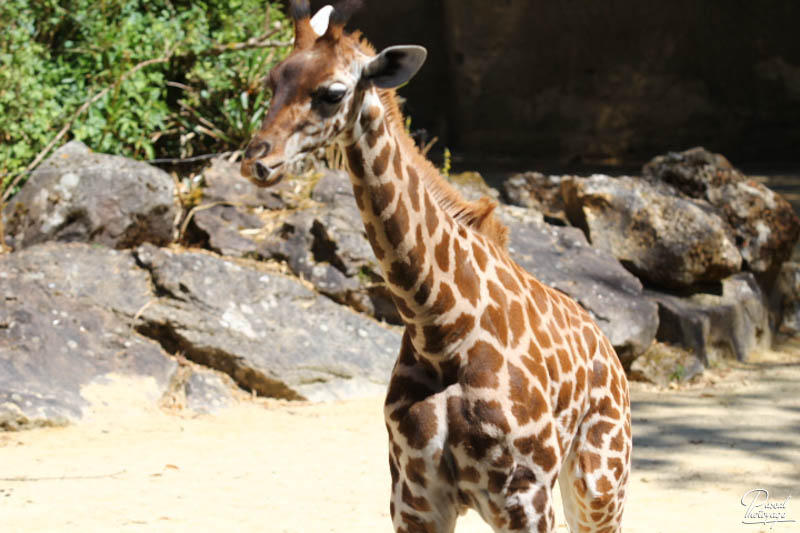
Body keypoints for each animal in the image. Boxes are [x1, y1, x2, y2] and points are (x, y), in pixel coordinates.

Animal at [241, 2, 628, 528]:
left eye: (332, 92)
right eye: (272, 80)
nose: (257, 161)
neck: (440, 327)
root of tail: (610, 352)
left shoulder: (525, 496)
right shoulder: (415, 498)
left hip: (599, 480)